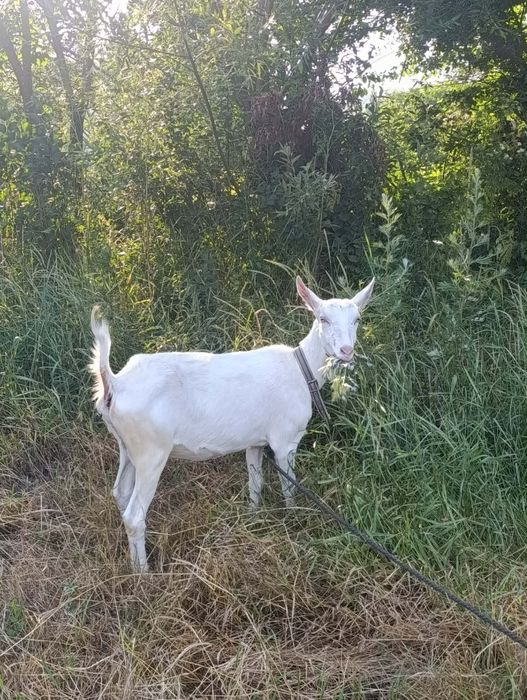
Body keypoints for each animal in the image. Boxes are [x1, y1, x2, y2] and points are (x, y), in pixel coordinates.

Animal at [89, 276, 374, 571]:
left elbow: (255, 482)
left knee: (120, 492)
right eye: (322, 318)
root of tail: (115, 384)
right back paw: (143, 571)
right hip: (151, 450)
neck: (302, 369)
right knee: (134, 515)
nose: (346, 351)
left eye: (357, 319)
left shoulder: (256, 441)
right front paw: (293, 519)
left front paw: (253, 517)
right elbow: (289, 487)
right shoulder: (285, 439)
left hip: (127, 445)